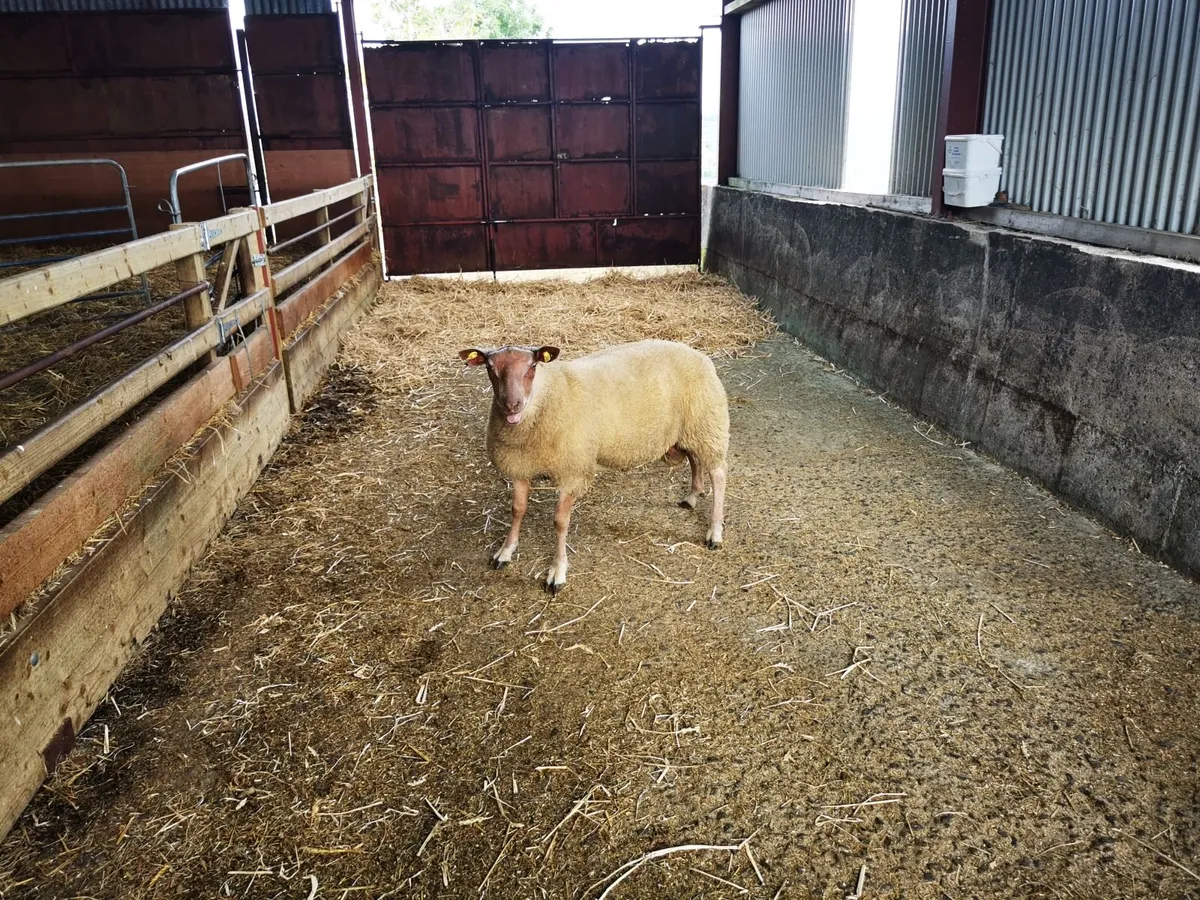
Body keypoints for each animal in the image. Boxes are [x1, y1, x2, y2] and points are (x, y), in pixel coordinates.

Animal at [459, 339, 729, 594]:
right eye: (490, 368)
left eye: (533, 367)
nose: (512, 405)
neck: (544, 397)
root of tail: (698, 354)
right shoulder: (518, 467)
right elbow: (517, 510)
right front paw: (505, 551)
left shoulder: (573, 471)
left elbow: (560, 522)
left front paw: (557, 572)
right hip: (689, 431)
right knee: (695, 460)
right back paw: (692, 496)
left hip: (707, 423)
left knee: (718, 474)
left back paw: (715, 532)